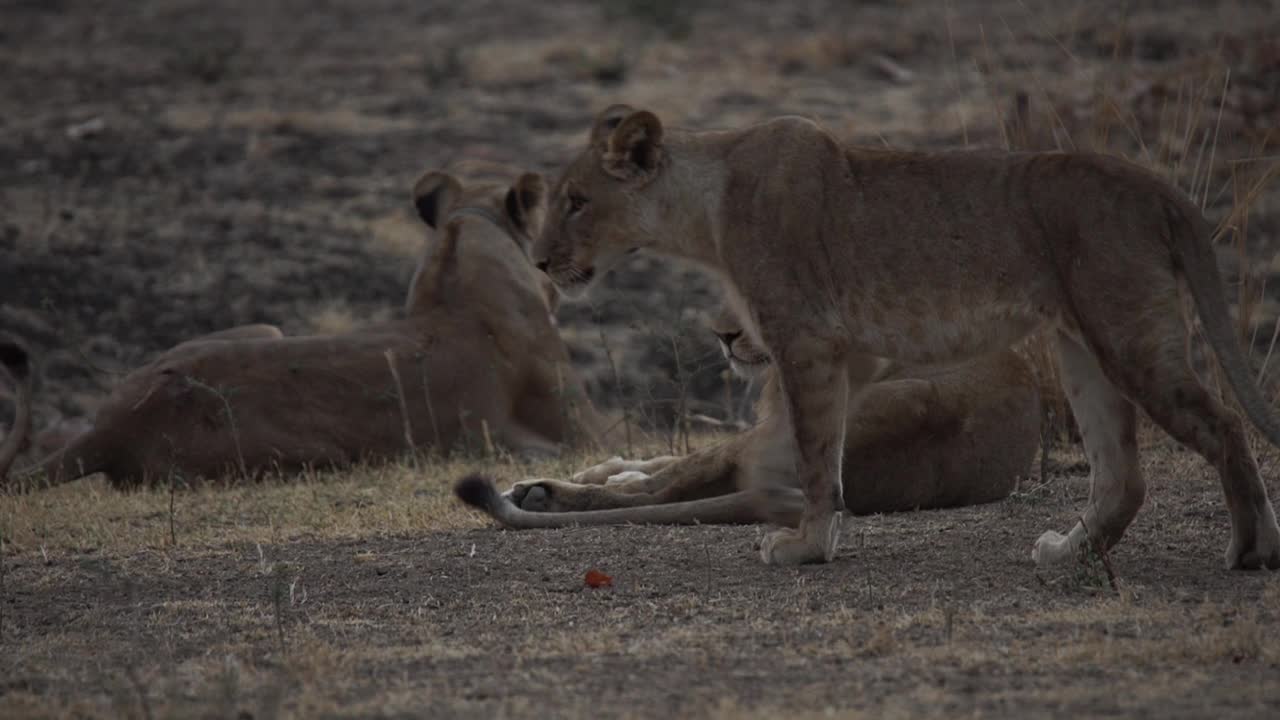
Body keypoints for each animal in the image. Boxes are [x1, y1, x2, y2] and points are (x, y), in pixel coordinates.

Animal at [517, 103, 1280, 568]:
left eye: (577, 202)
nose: (540, 262)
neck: (702, 210)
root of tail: (1160, 188)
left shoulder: (805, 343)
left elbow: (815, 461)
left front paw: (804, 548)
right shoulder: (849, 354)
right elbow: (822, 458)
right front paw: (819, 540)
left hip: (1126, 335)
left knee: (1223, 427)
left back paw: (1252, 550)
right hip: (1080, 347)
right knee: (1122, 475)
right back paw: (1067, 553)